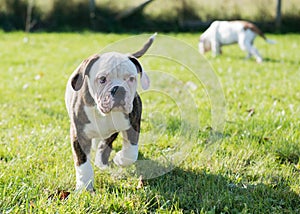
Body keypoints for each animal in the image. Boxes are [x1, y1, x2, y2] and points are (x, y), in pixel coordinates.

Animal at [64, 33, 156, 192]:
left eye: (131, 79)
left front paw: (119, 159)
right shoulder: (79, 134)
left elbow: (131, 151)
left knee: (105, 144)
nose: (119, 89)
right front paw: (84, 186)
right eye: (102, 79)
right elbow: (82, 163)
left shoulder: (133, 123)